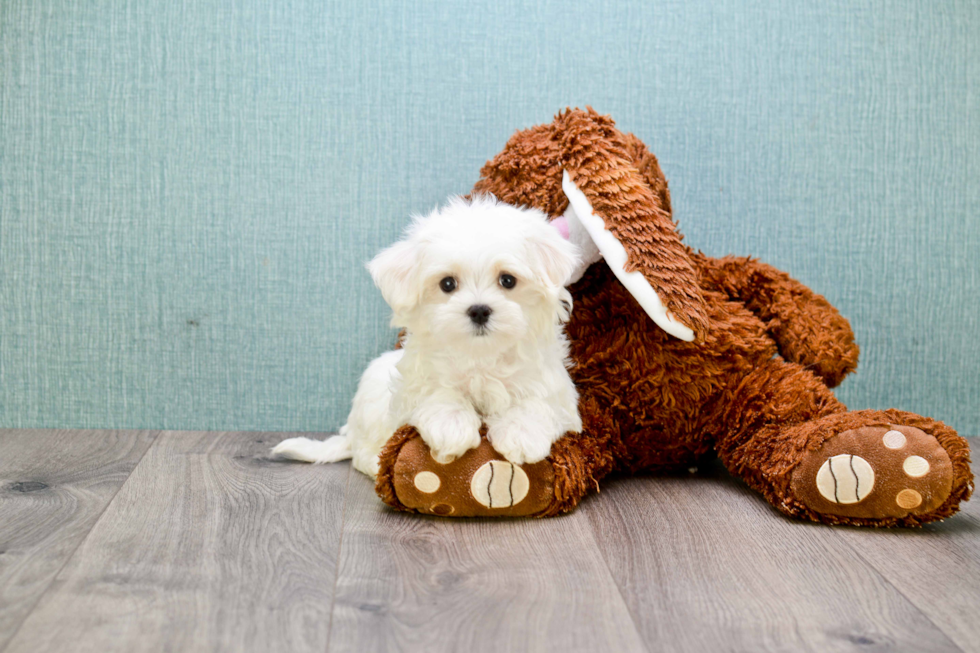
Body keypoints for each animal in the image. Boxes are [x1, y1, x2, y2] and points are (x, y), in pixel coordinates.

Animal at [272, 196, 580, 476]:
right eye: (447, 284)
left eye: (507, 280)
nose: (479, 310)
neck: (480, 356)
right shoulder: (413, 384)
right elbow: (437, 392)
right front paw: (452, 427)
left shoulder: (553, 387)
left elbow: (538, 402)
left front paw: (522, 434)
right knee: (363, 453)